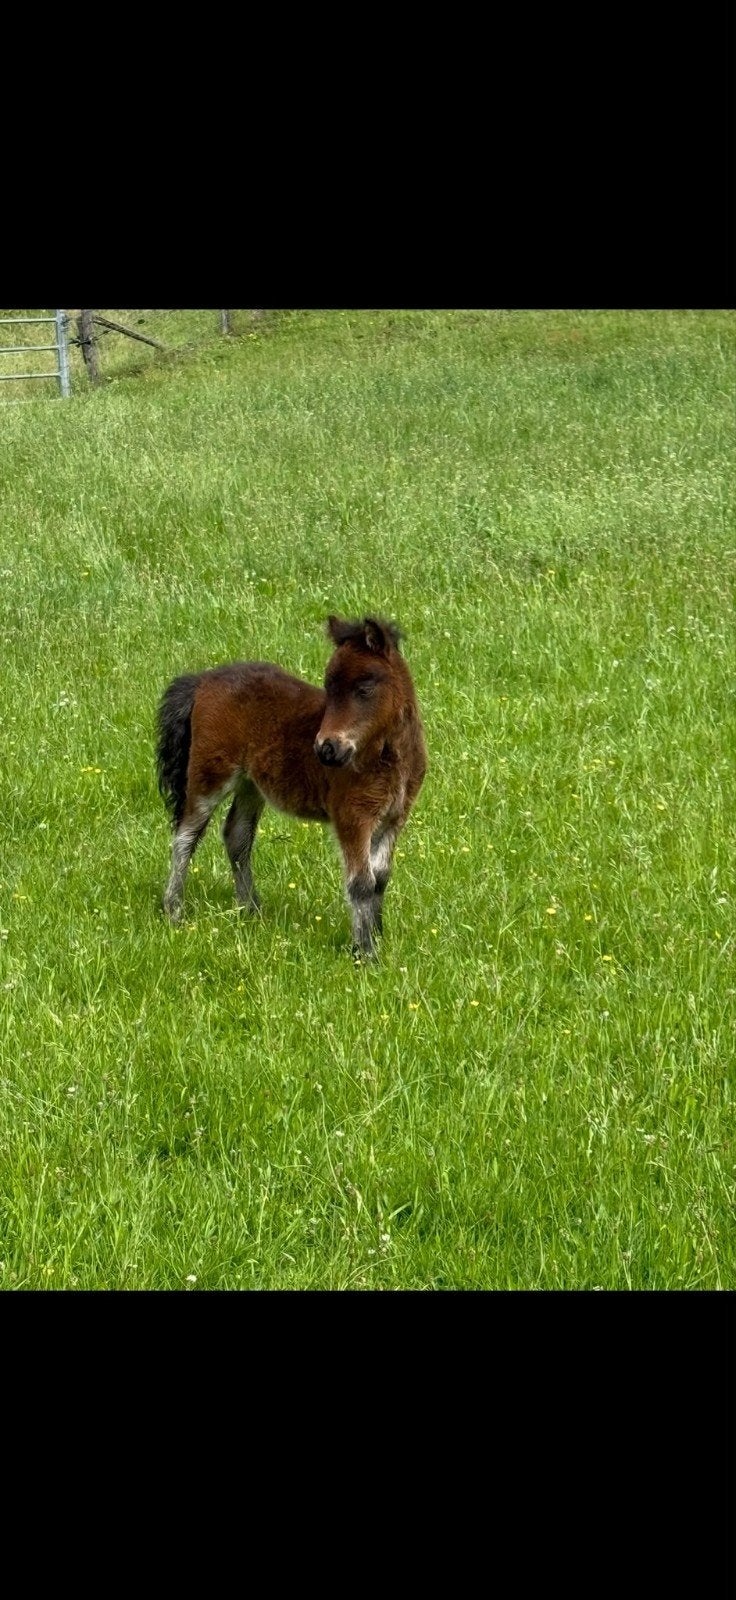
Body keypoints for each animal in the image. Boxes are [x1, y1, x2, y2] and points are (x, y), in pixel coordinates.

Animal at [156, 615, 427, 960]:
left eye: (364, 688)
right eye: (329, 688)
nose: (326, 749)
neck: (390, 757)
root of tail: (203, 680)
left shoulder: (394, 818)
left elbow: (380, 878)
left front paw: (378, 937)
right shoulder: (352, 816)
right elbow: (361, 882)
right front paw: (365, 953)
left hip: (251, 785)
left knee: (236, 835)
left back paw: (251, 910)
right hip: (210, 775)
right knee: (186, 837)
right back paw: (175, 911)